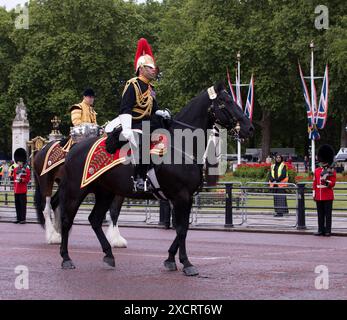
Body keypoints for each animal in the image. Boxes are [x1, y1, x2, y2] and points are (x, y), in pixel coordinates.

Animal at [57, 84, 253, 276]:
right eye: (225, 102)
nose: (249, 128)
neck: (182, 145)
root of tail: (74, 148)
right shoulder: (181, 195)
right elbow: (181, 229)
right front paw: (186, 263)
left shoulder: (185, 197)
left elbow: (182, 228)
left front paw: (171, 259)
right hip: (77, 191)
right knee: (67, 220)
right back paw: (66, 258)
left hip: (105, 192)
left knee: (95, 220)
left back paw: (108, 255)